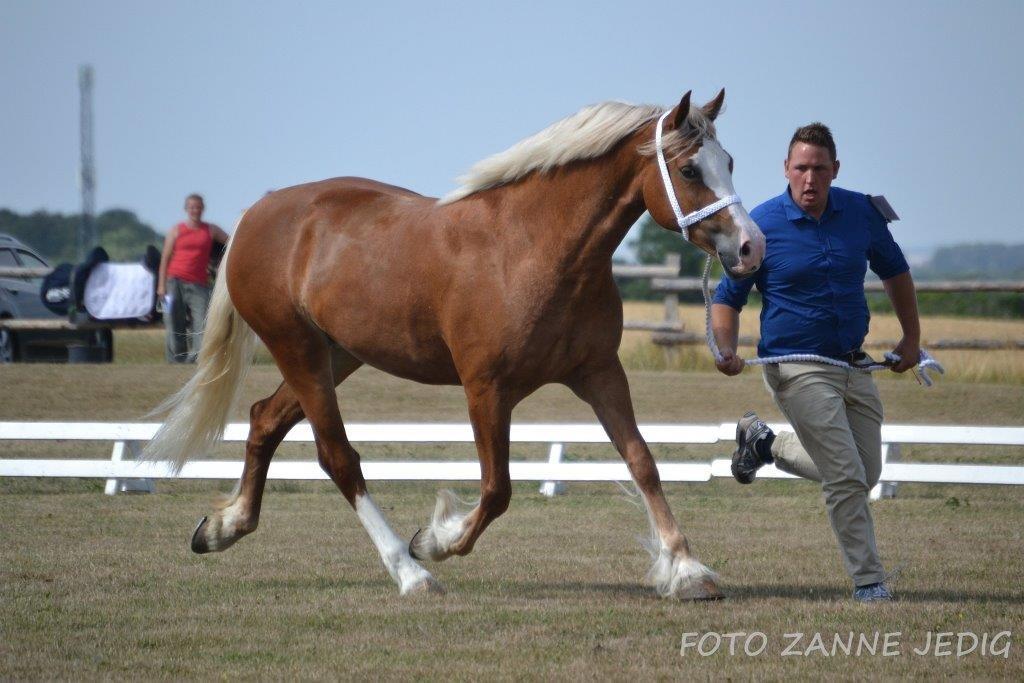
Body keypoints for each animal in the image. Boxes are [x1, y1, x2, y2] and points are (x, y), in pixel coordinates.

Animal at [148, 89, 765, 598]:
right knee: (338, 457)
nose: (751, 247)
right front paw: (435, 540)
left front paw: (687, 569)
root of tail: (260, 211)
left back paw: (224, 528)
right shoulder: (486, 389)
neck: (533, 248)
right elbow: (497, 490)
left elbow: (642, 461)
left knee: (264, 420)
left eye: (730, 163)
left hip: (334, 355)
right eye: (689, 168)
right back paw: (409, 572)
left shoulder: (599, 373)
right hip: (296, 348)